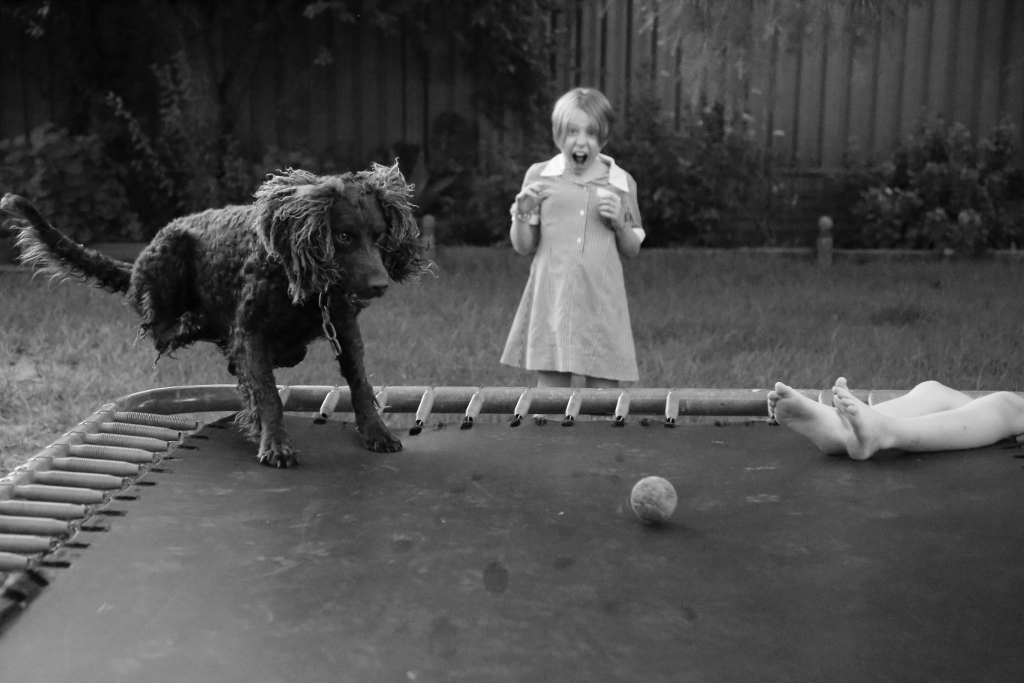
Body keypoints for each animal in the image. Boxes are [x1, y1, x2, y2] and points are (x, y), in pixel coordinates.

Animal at [0, 162, 423, 466]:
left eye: (380, 236)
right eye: (344, 236)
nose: (380, 285)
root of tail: (134, 269)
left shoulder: (344, 327)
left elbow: (360, 384)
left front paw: (377, 432)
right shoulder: (249, 333)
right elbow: (267, 394)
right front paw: (275, 443)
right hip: (168, 263)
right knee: (161, 329)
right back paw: (193, 322)